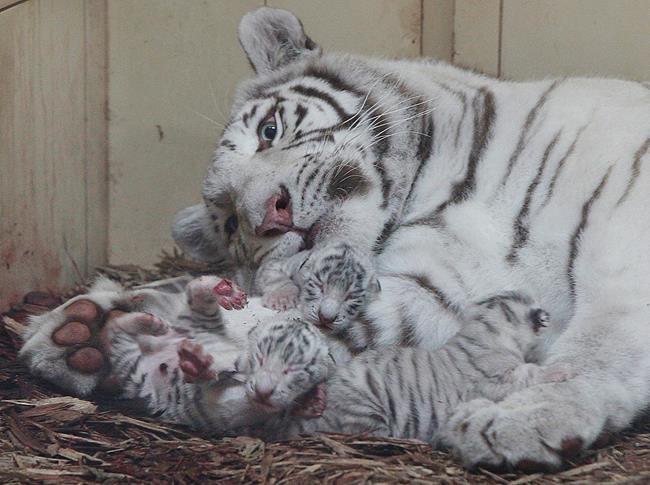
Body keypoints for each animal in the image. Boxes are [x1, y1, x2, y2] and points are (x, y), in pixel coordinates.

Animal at [19, 6, 650, 470]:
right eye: (230, 220)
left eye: (269, 130)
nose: (270, 215)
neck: (436, 191)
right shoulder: (436, 291)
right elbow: (297, 319)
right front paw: (87, 332)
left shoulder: (621, 243)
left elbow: (596, 348)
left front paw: (522, 417)